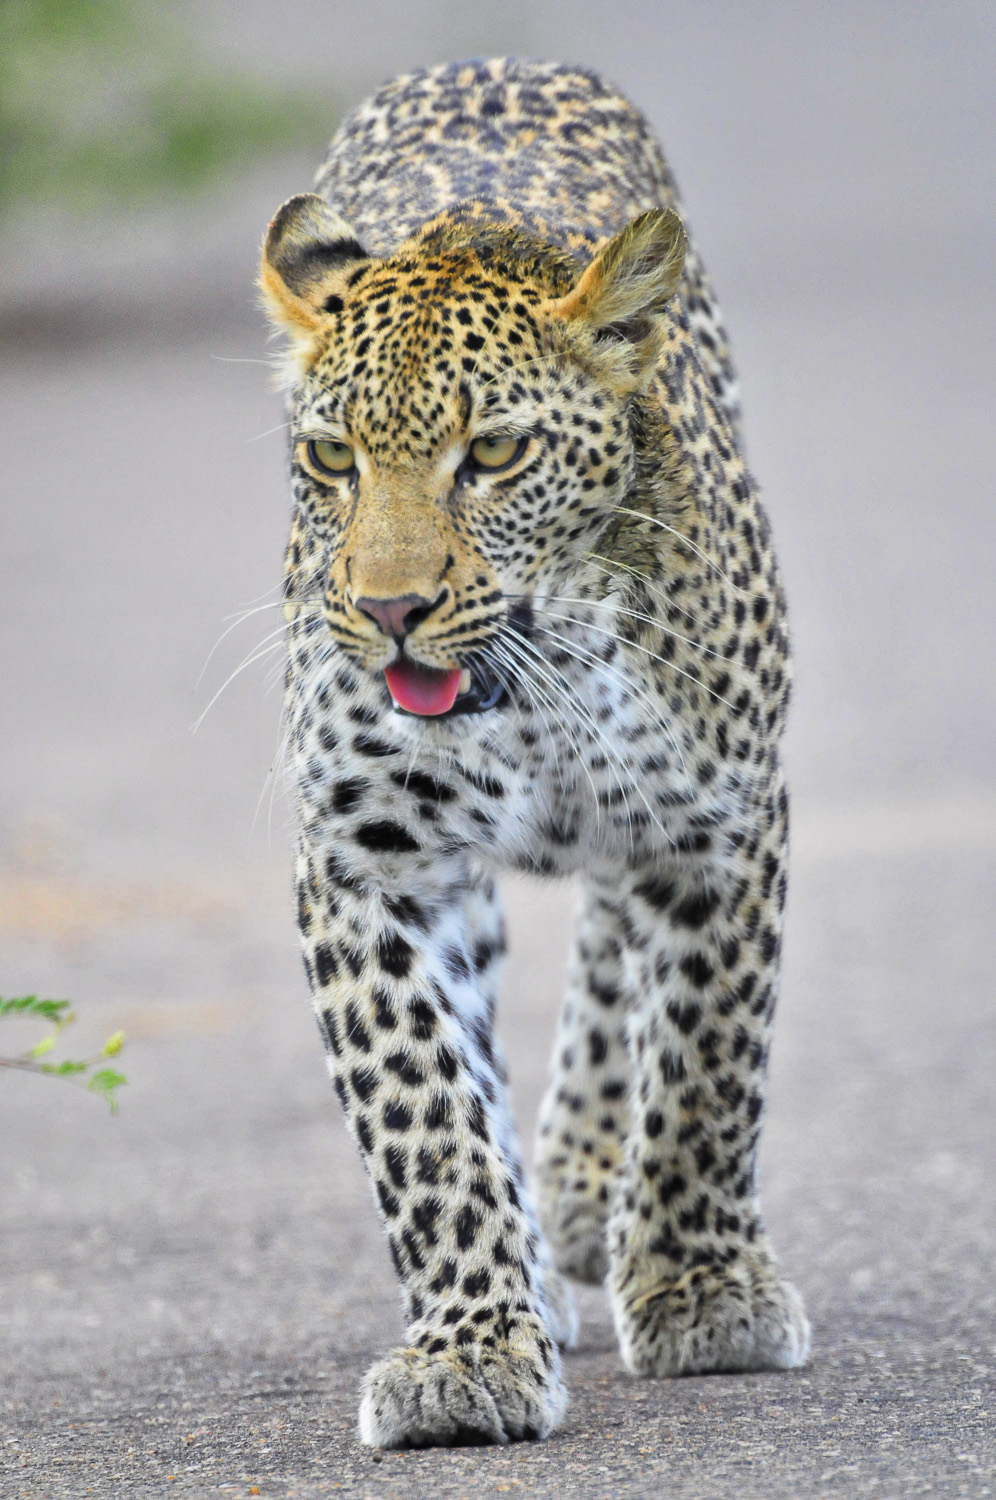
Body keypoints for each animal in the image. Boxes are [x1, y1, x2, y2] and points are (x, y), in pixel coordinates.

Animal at [258, 57, 809, 1449]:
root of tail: (488, 61)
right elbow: (423, 1114)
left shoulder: (724, 828)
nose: (391, 609)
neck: (532, 687)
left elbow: (708, 1061)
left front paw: (703, 1289)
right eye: (332, 459)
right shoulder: (366, 861)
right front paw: (469, 1349)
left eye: (495, 453)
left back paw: (585, 1184)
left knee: (618, 964)